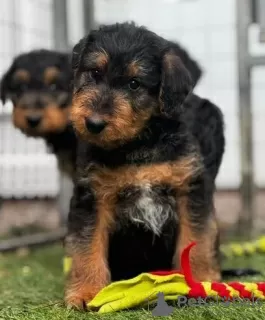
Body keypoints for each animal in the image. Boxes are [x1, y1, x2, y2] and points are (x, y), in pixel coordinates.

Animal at [63, 21, 224, 308]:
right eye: (94, 72)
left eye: (134, 84)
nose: (93, 124)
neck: (137, 144)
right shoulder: (92, 197)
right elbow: (87, 246)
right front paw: (85, 293)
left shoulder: (190, 189)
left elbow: (197, 240)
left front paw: (202, 281)